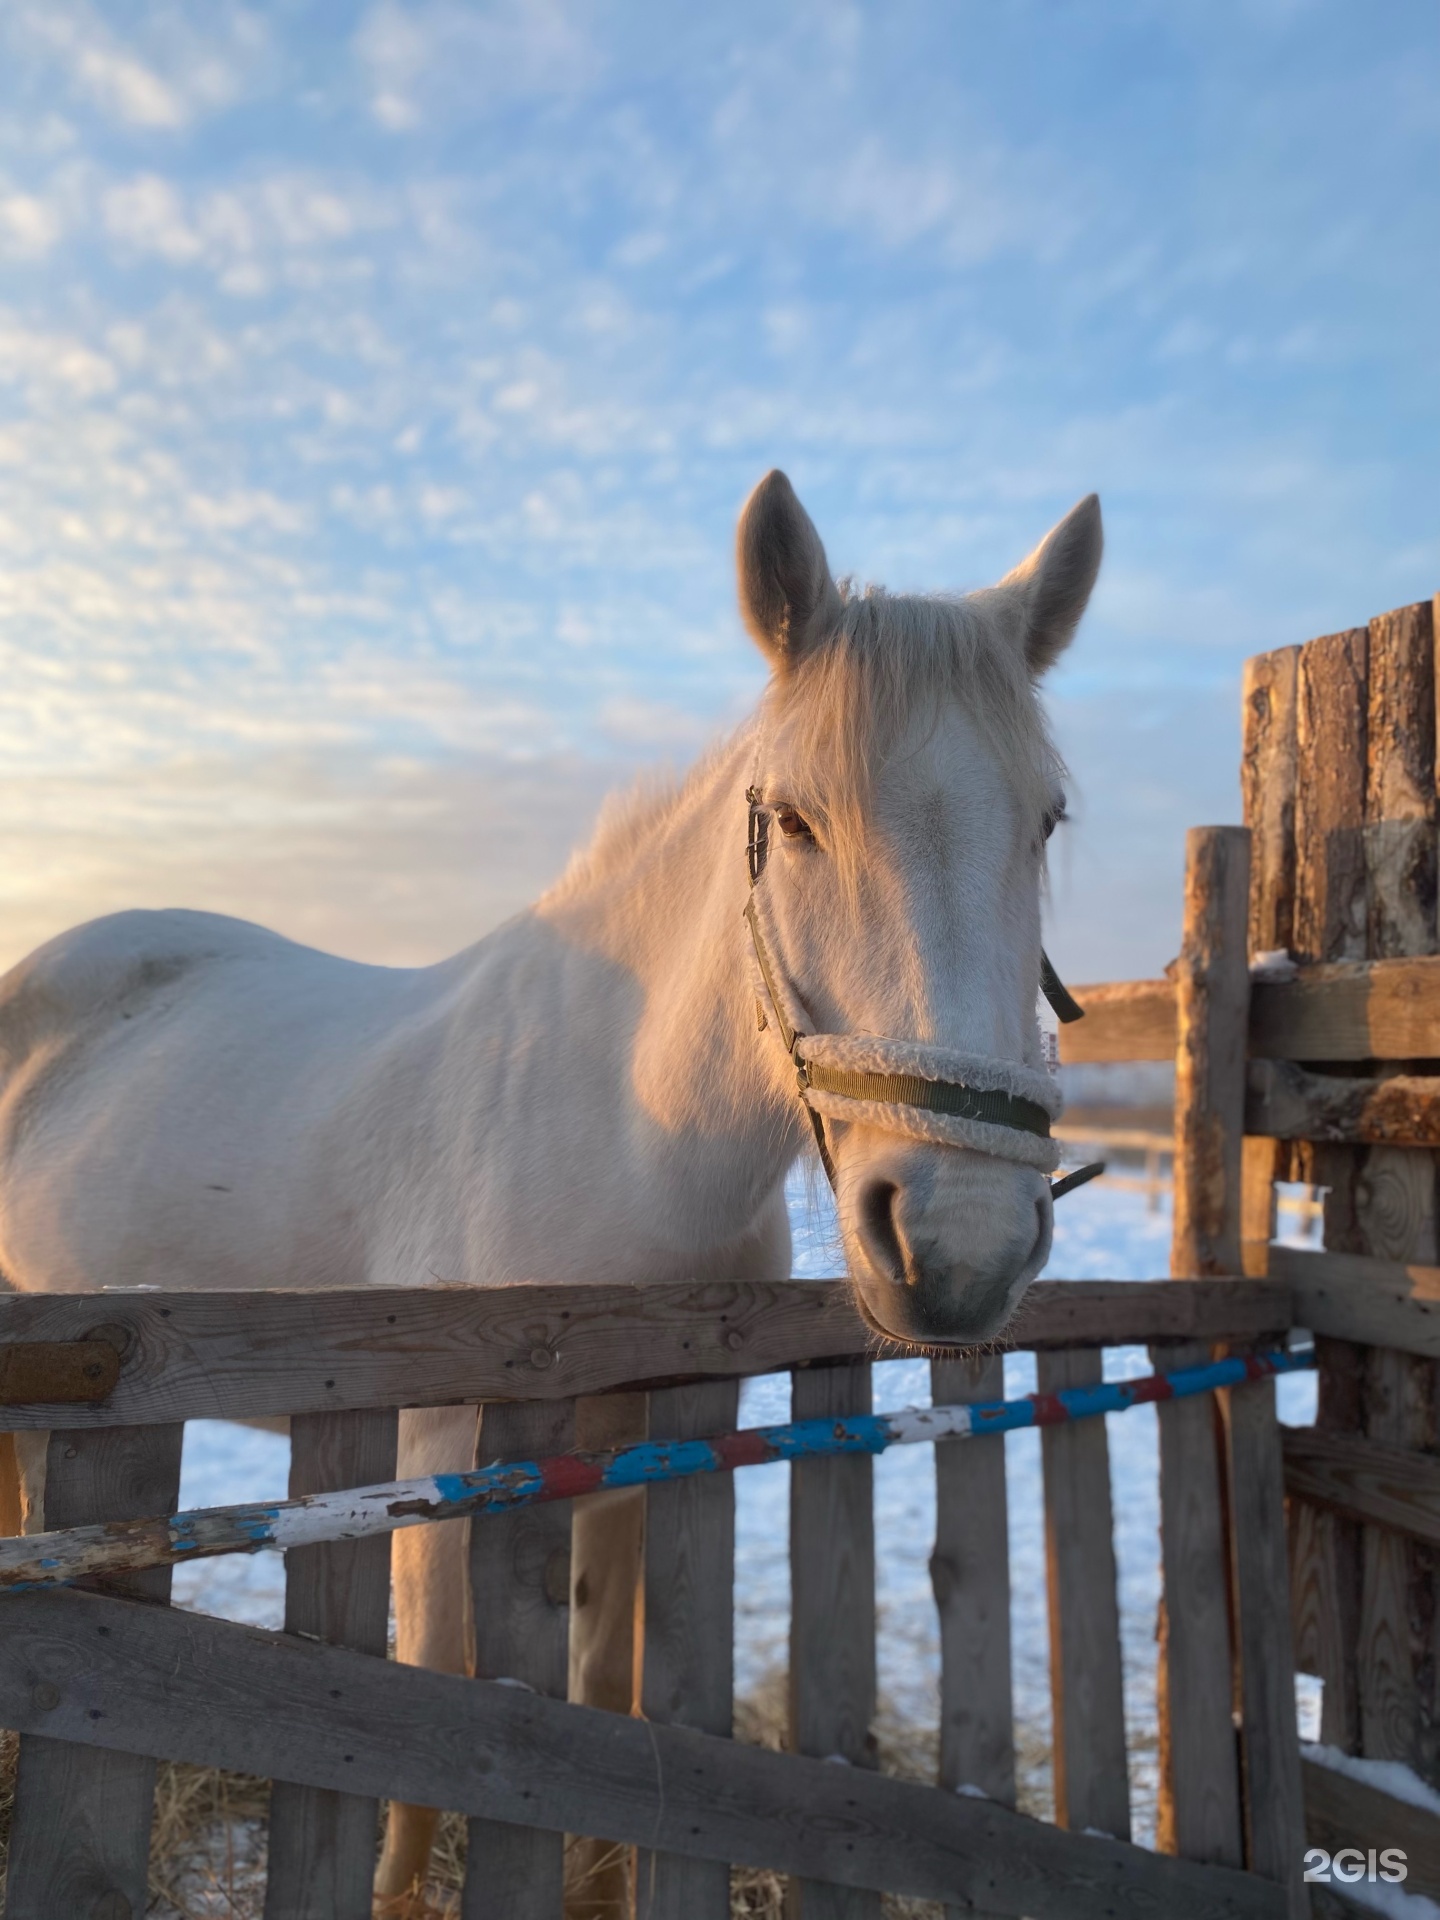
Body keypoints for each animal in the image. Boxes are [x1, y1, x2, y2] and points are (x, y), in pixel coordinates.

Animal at [0, 472, 1105, 1896]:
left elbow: (604, 1718)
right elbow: (424, 1742)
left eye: (1044, 820)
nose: (959, 1247)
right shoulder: (434, 1463)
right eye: (794, 819)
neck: (625, 1132)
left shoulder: (630, 1454)